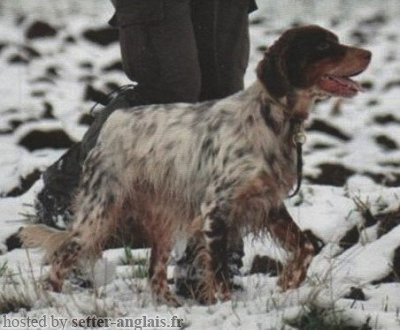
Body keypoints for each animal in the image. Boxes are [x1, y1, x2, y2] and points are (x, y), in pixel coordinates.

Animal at [20, 25, 372, 306]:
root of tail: (113, 122)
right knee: (64, 253)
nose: (368, 52)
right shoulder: (216, 209)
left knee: (155, 272)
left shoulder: (268, 202)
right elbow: (217, 272)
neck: (272, 117)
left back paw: (171, 304)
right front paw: (228, 308)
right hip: (100, 210)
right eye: (323, 47)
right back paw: (53, 299)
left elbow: (305, 247)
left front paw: (289, 281)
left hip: (163, 217)